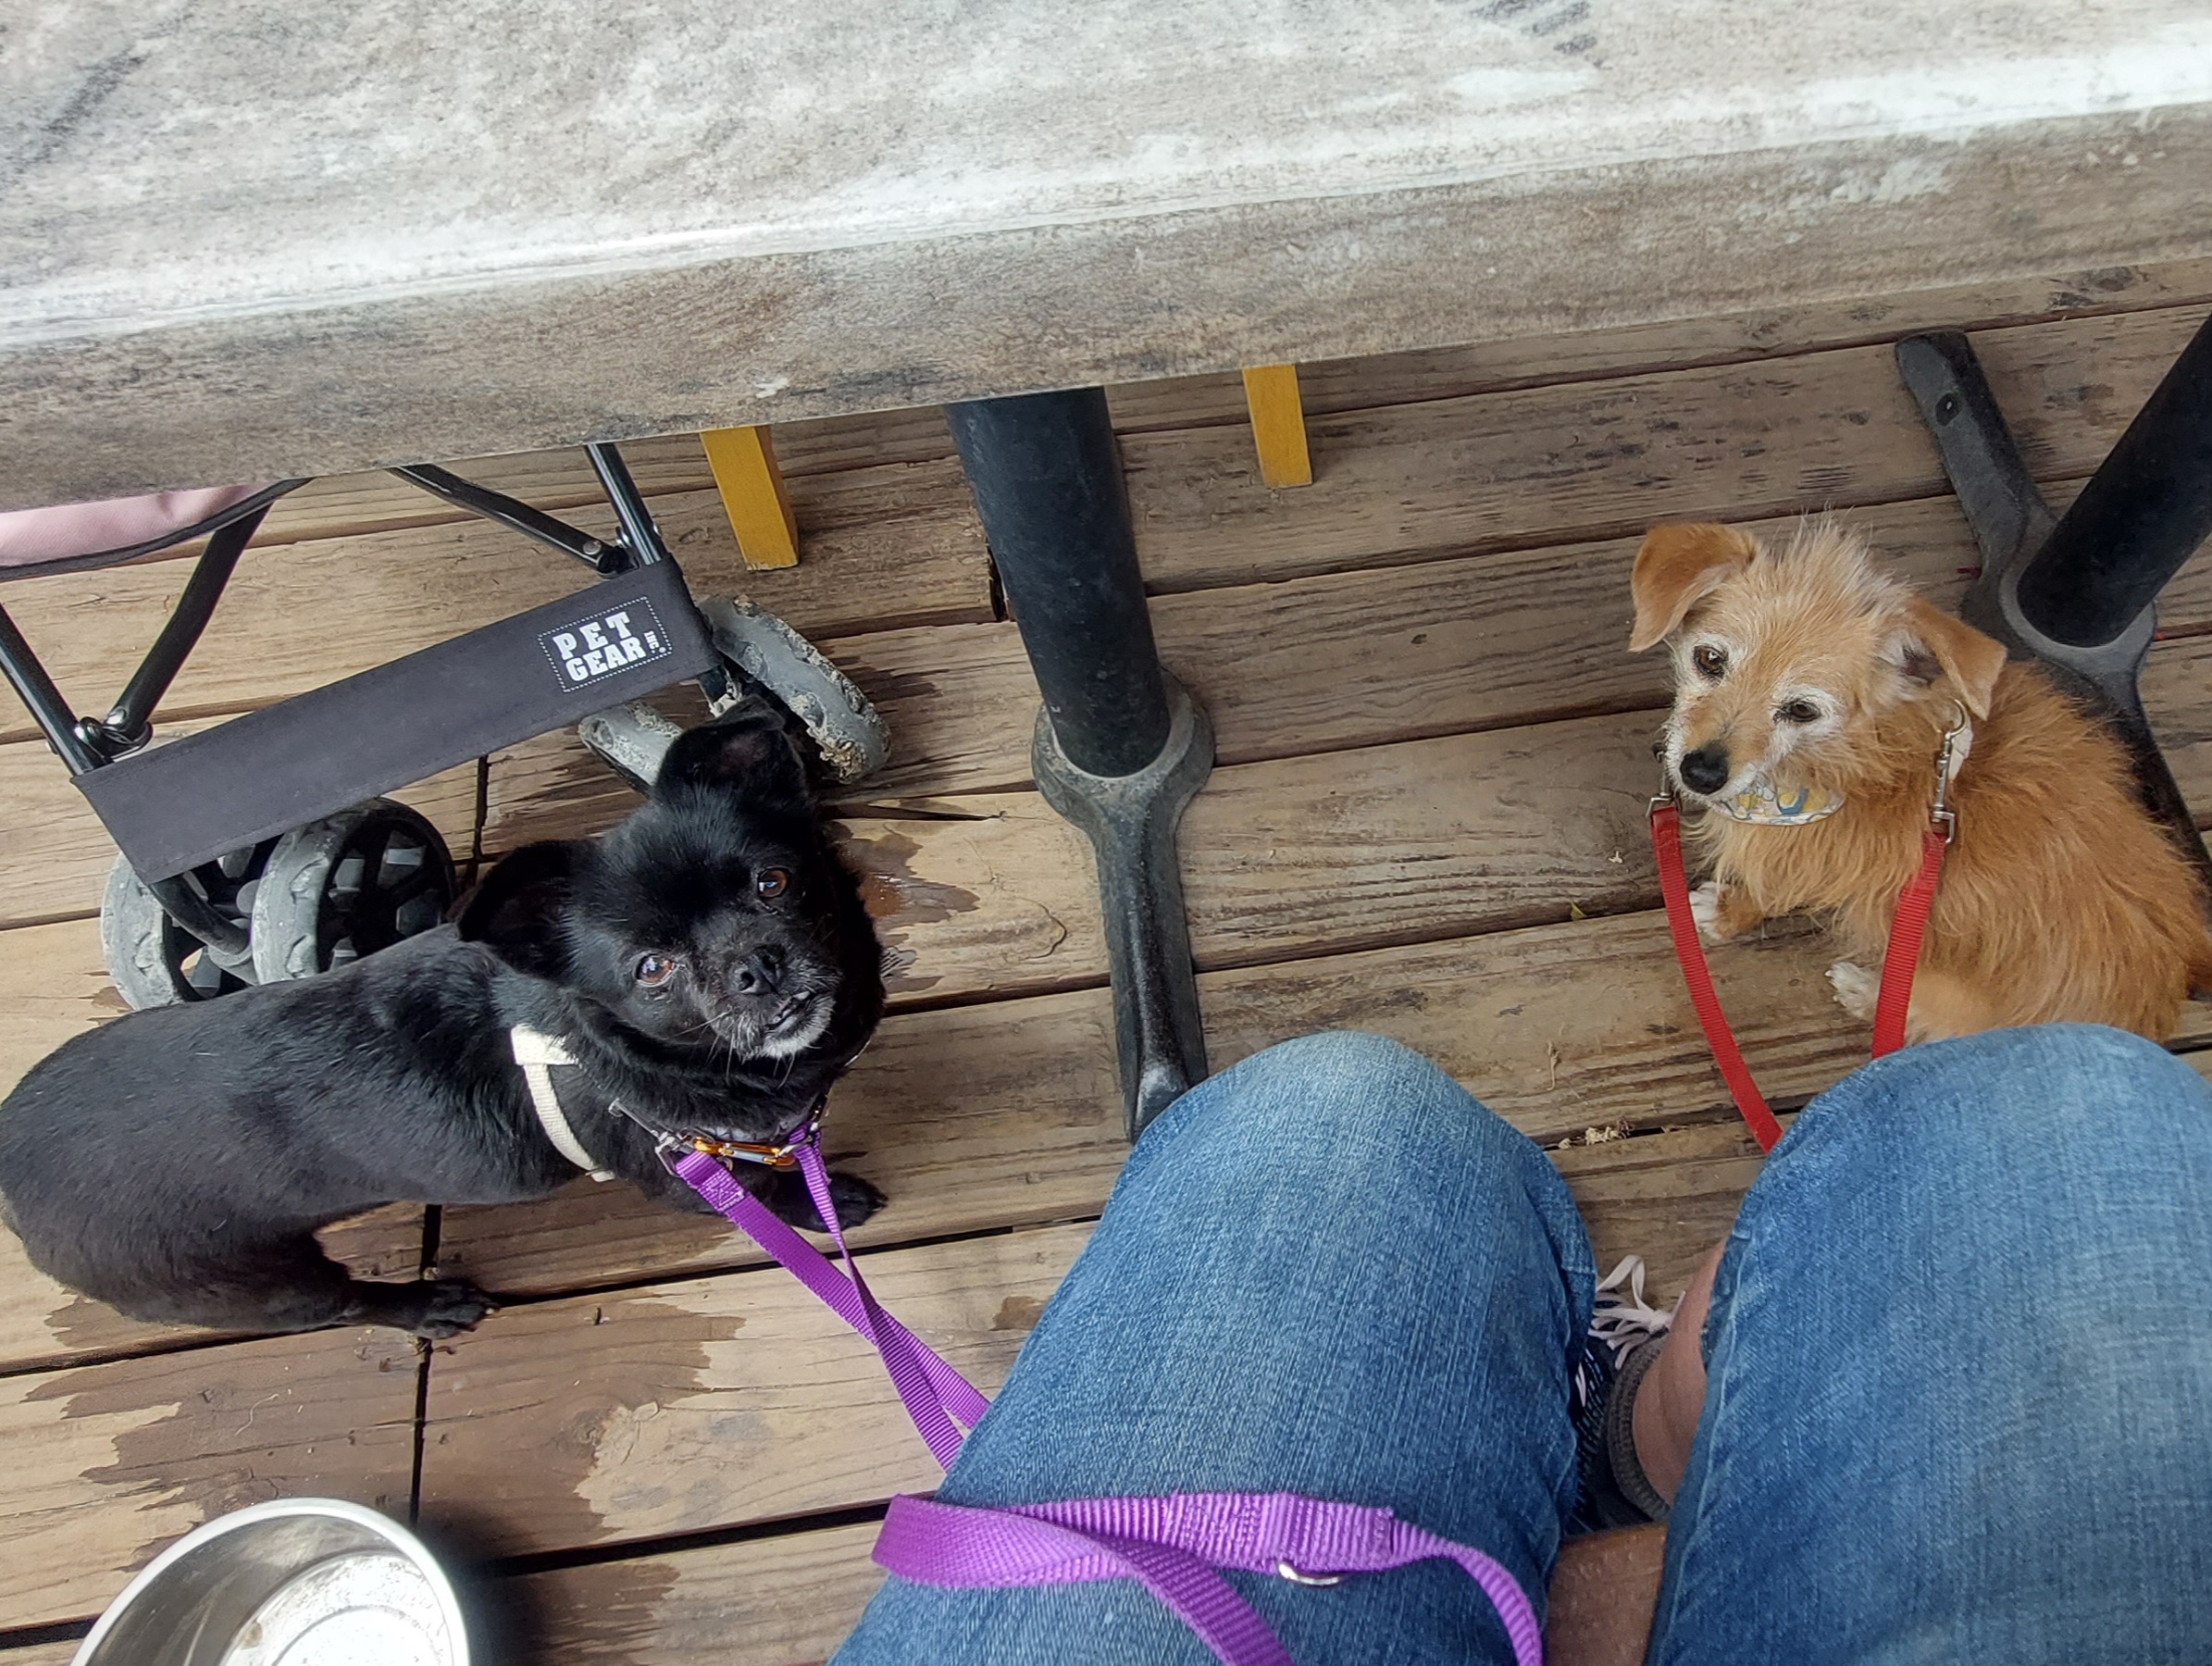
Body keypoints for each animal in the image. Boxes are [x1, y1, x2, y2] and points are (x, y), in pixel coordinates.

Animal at [0, 707, 886, 1338]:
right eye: (651, 969)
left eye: (773, 883)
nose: (756, 965)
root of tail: (9, 1169)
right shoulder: (691, 1176)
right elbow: (775, 1192)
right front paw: (822, 1201)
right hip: (256, 1284)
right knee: (344, 1306)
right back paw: (429, 1308)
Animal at [1630, 518, 2212, 1043]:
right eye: (1709, 659)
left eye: (1801, 710)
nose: (1701, 773)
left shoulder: (1809, 863)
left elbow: (1766, 894)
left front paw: (1725, 912)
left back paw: (1868, 989)